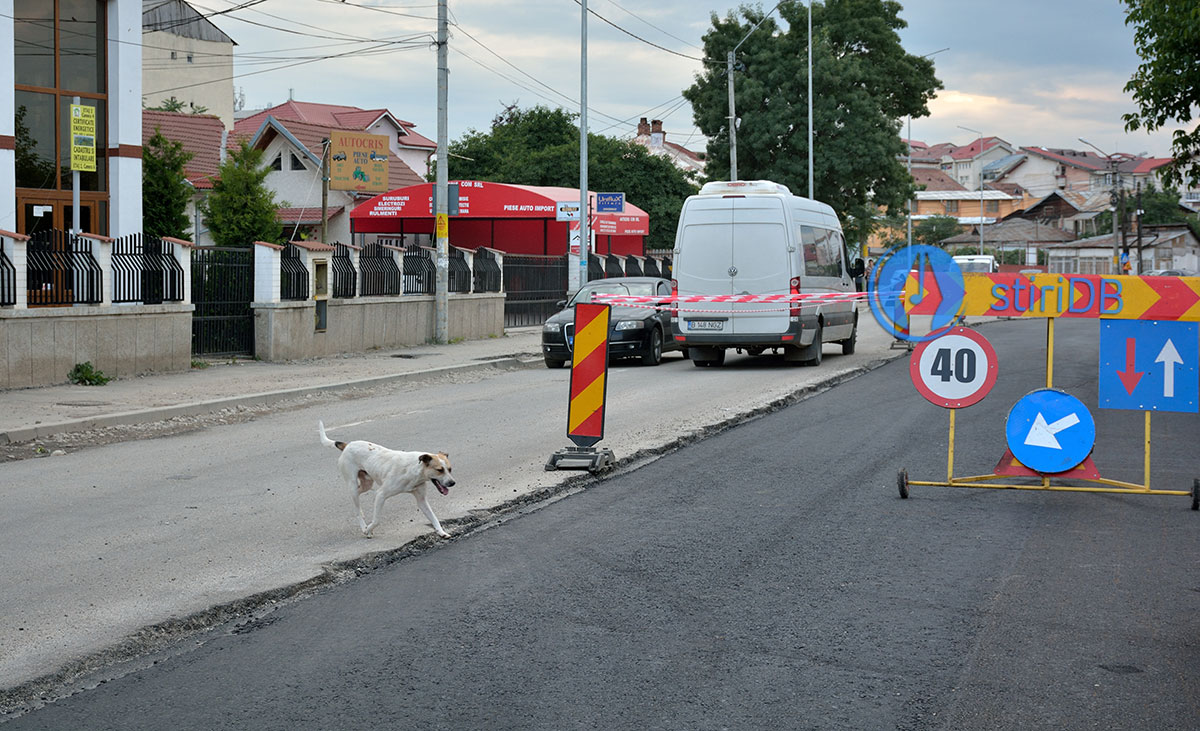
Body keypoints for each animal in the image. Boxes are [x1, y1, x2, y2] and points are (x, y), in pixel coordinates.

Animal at [319, 422, 453, 535]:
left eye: (450, 469)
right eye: (440, 470)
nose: (452, 483)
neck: (415, 470)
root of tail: (348, 445)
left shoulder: (422, 501)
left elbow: (434, 518)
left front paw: (442, 532)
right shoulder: (381, 495)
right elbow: (377, 520)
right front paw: (368, 529)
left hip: (366, 483)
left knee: (359, 493)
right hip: (352, 483)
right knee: (357, 508)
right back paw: (363, 526)